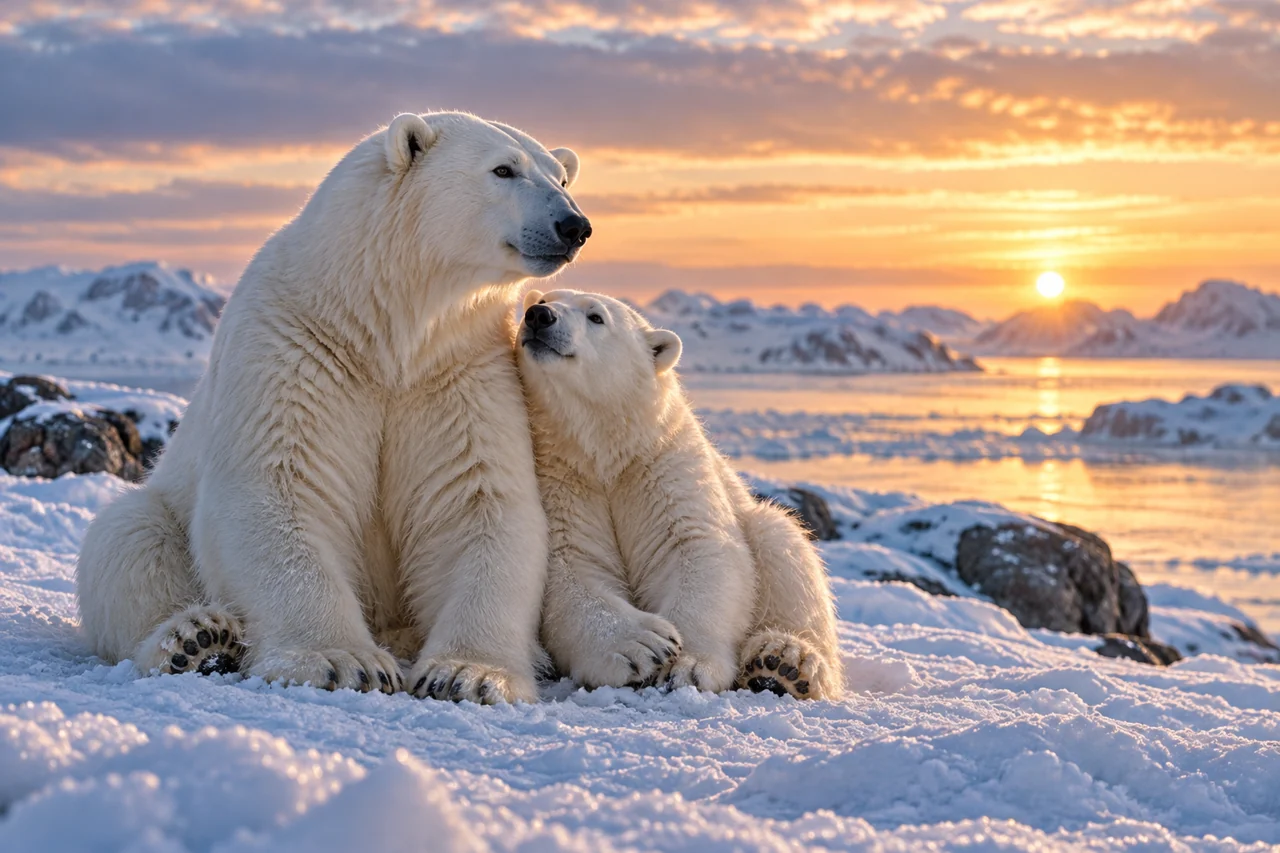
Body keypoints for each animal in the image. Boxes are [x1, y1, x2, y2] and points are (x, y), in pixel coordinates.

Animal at [75, 112, 592, 704]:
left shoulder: (460, 370)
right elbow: (281, 486)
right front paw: (343, 661)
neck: (378, 325)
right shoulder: (294, 344)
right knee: (128, 543)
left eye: (562, 177)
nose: (574, 225)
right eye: (503, 169)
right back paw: (197, 640)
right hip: (163, 506)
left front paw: (469, 674)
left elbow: (476, 500)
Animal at [515, 289, 844, 700]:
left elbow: (696, 549)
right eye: (544, 298)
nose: (538, 315)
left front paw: (686, 664)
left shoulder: (666, 464)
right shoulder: (562, 479)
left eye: (596, 317)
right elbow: (572, 563)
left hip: (760, 528)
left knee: (784, 550)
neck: (606, 449)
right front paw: (642, 645)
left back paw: (784, 662)